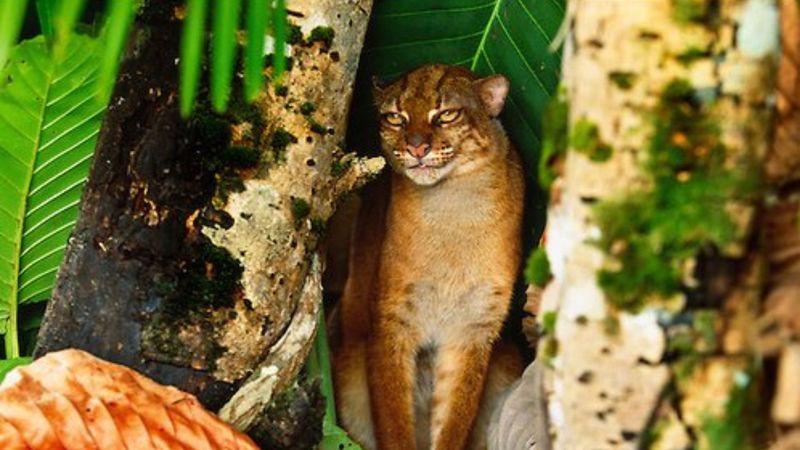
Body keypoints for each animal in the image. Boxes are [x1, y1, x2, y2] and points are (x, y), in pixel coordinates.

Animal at [332, 64, 524, 450]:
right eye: (395, 117)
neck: (453, 209)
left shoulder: (474, 326)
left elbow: (454, 418)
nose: (416, 146)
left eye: (446, 114)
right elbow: (393, 419)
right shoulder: (393, 318)